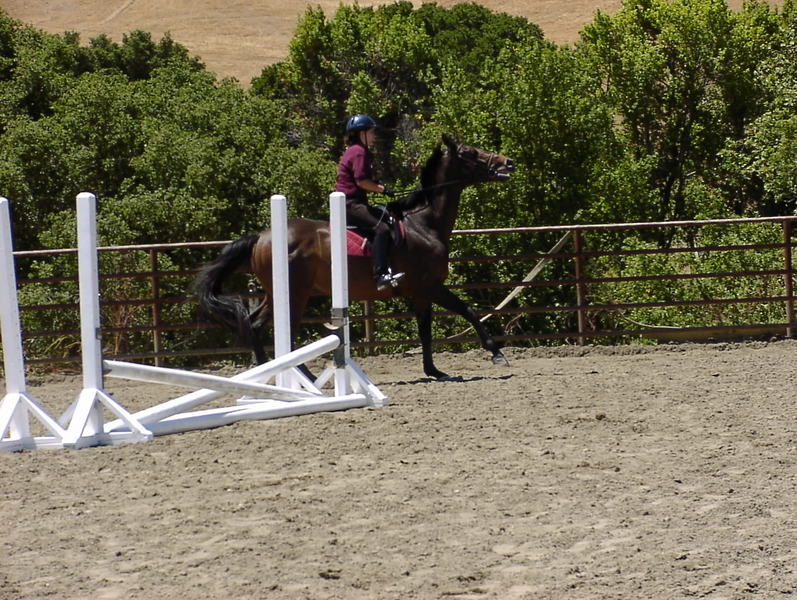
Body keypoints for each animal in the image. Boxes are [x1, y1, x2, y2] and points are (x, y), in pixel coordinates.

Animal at [195, 134, 515, 380]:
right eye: (471, 153)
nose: (507, 163)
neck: (423, 224)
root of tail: (261, 237)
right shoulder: (430, 286)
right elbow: (468, 310)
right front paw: (497, 353)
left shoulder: (420, 292)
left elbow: (425, 330)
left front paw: (435, 371)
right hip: (294, 295)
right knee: (278, 331)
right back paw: (300, 376)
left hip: (277, 294)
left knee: (254, 324)